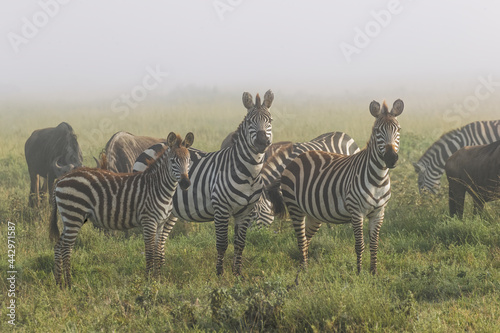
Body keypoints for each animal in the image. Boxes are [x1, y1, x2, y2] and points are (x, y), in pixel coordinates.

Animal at [48, 132, 193, 288]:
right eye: (173, 161)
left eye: (188, 161)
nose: (186, 183)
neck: (158, 187)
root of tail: (61, 179)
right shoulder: (149, 221)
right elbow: (149, 252)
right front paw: (149, 281)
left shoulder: (160, 223)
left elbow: (157, 251)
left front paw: (157, 280)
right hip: (74, 215)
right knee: (66, 248)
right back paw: (69, 284)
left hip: (69, 218)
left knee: (58, 246)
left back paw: (59, 283)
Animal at [135, 90, 274, 274]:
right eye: (250, 121)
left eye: (270, 120)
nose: (261, 142)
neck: (250, 174)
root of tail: (153, 146)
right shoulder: (221, 209)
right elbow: (222, 244)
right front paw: (220, 275)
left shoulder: (245, 212)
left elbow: (240, 244)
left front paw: (237, 274)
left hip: (170, 210)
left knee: (161, 237)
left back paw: (161, 269)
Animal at [268, 98, 404, 274]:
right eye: (376, 131)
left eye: (398, 129)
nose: (391, 158)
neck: (378, 179)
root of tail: (296, 159)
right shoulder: (356, 212)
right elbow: (360, 245)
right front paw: (359, 272)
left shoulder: (379, 213)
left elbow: (374, 244)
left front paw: (374, 272)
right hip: (295, 208)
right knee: (300, 239)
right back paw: (304, 270)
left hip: (313, 213)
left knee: (306, 238)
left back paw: (306, 265)